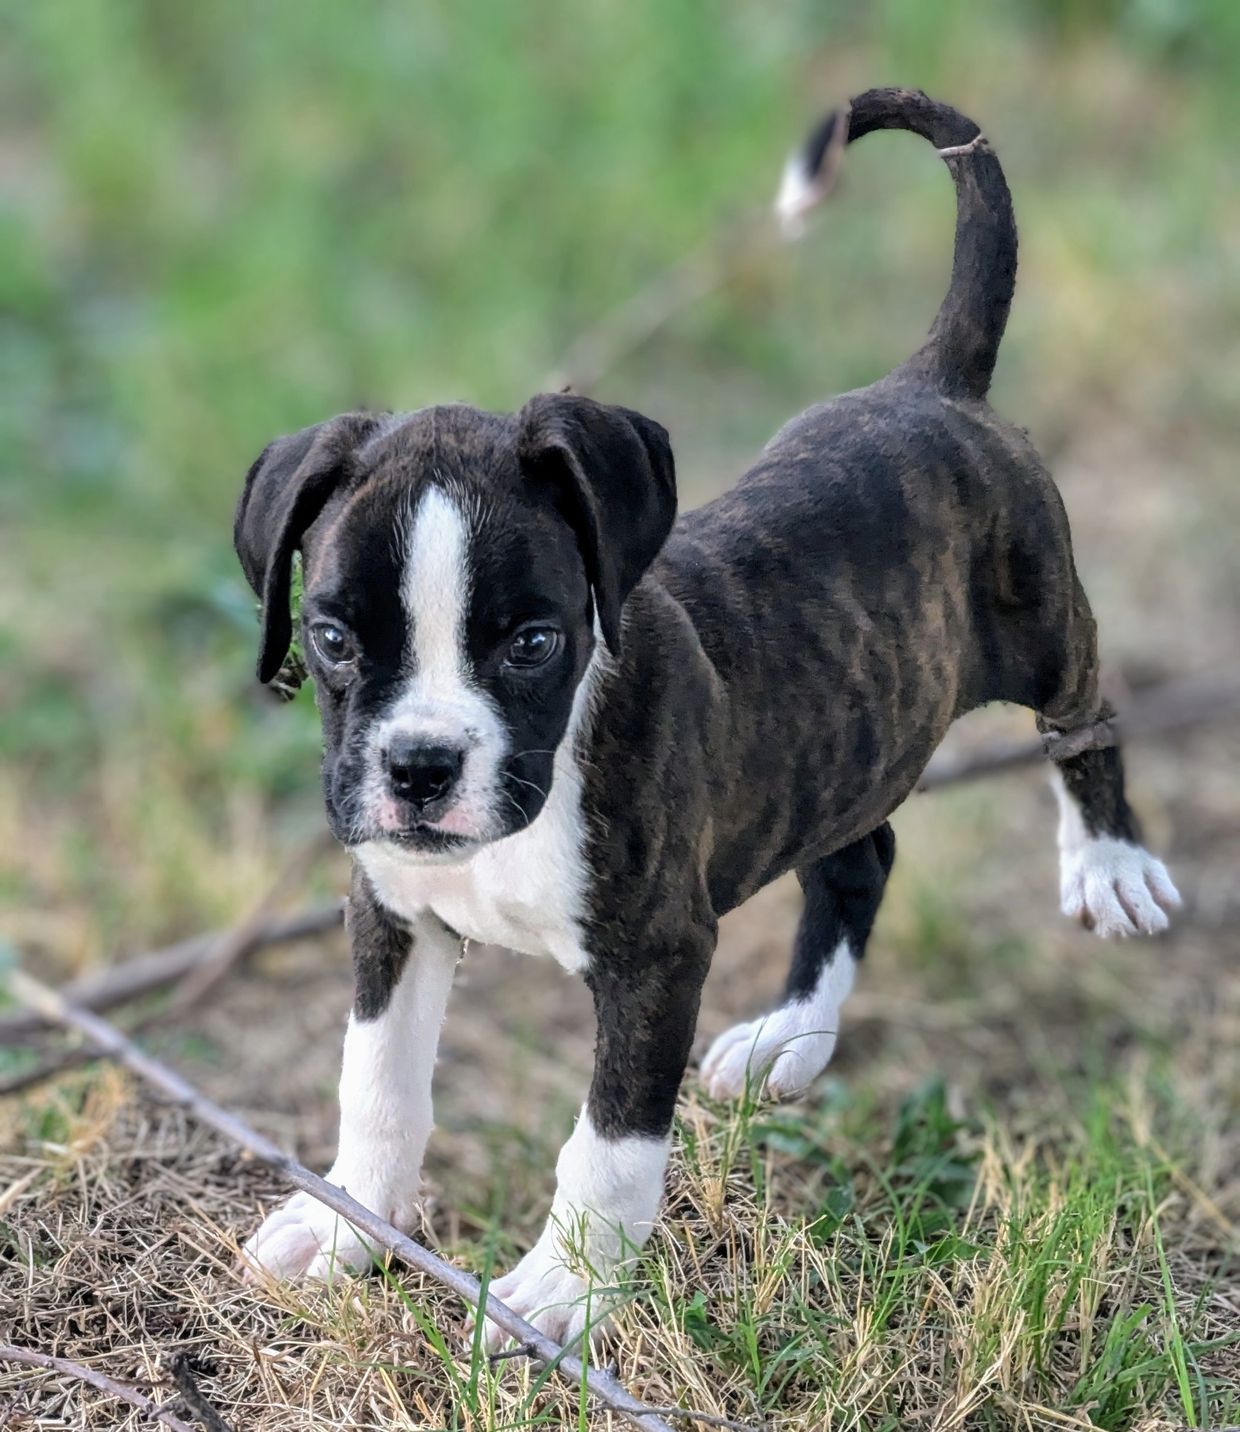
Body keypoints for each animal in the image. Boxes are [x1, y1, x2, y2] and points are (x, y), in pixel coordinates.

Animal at [234, 89, 1179, 1340]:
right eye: (334, 641)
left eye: (532, 643)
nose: (423, 768)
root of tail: (930, 384)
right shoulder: (391, 913)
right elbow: (376, 1081)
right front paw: (346, 1223)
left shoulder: (655, 958)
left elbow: (610, 1138)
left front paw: (565, 1290)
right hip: (843, 740)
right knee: (861, 855)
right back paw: (792, 1034)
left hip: (1039, 611)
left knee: (1083, 714)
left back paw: (1107, 861)